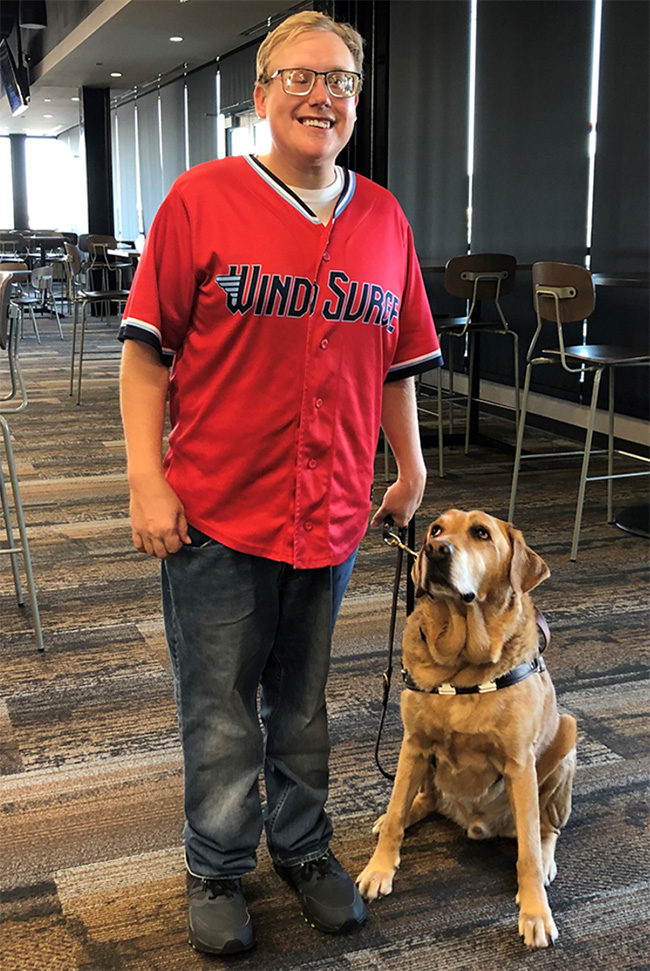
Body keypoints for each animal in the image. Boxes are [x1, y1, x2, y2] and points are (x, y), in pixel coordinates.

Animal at [356, 508, 576, 948]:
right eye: (436, 529)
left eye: (481, 533)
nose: (434, 549)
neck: (461, 663)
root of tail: (473, 822)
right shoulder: (414, 743)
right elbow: (396, 809)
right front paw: (378, 868)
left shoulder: (519, 764)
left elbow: (527, 851)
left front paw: (535, 912)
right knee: (417, 801)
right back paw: (399, 814)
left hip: (566, 740)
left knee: (545, 828)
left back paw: (545, 860)